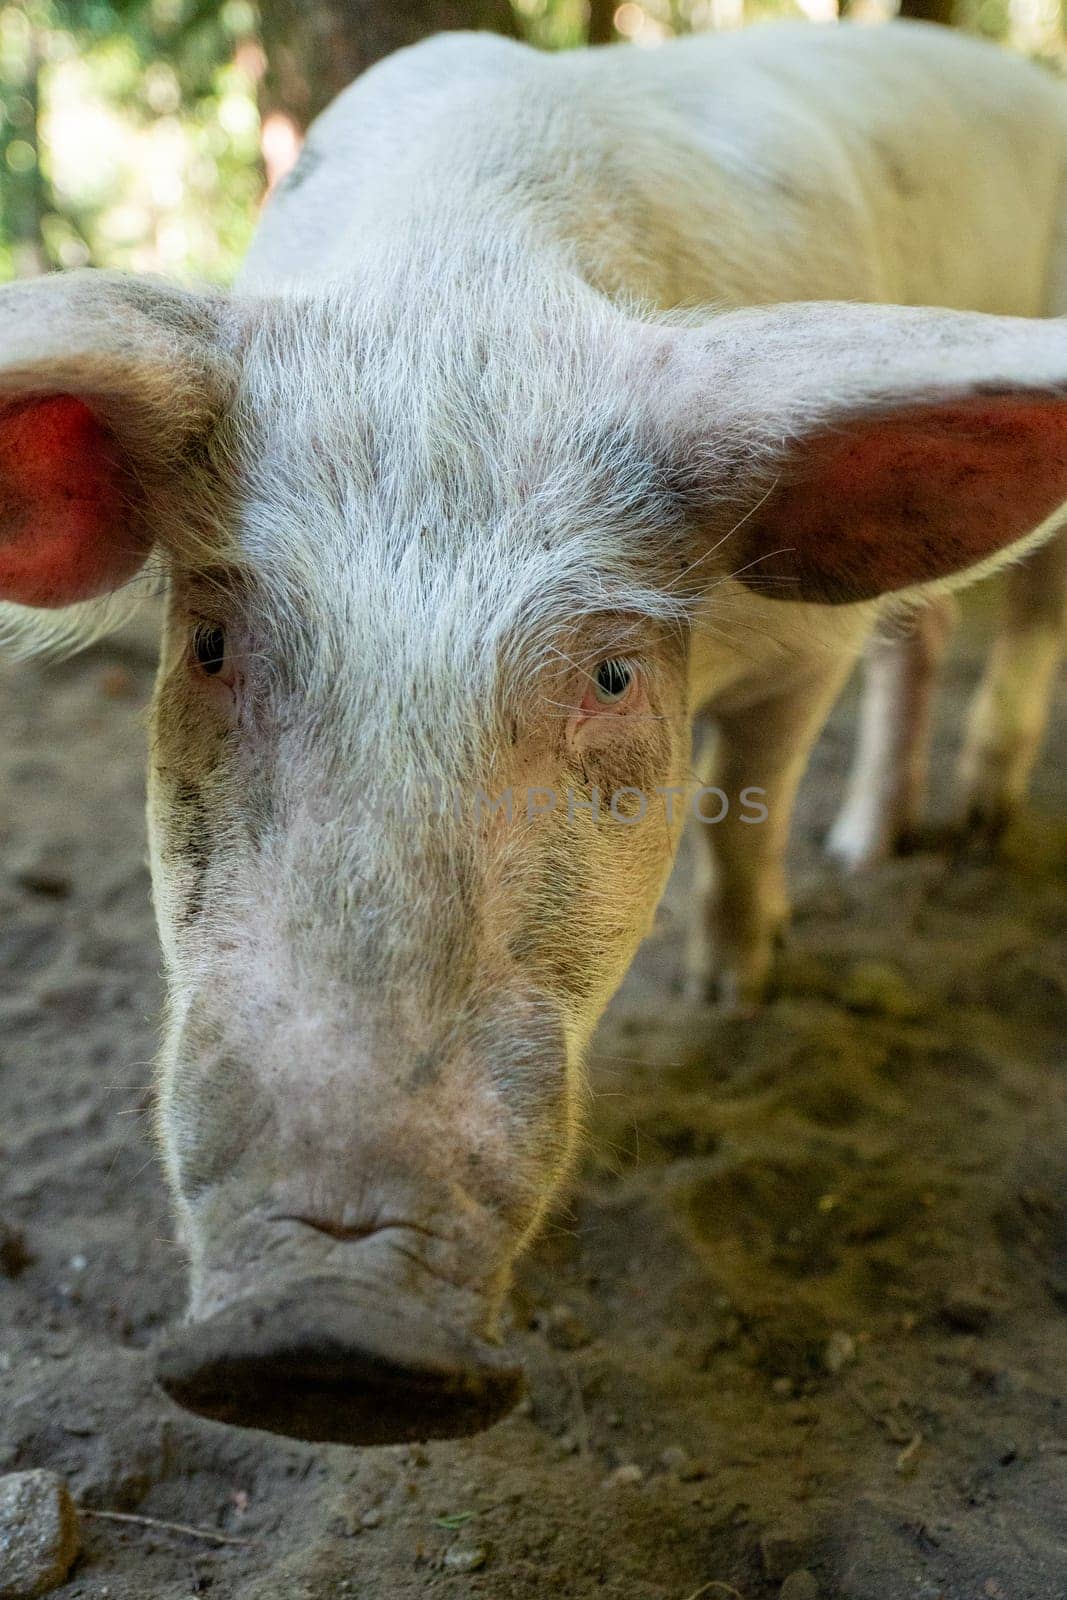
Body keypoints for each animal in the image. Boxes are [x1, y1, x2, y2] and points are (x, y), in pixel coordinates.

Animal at [2, 21, 1067, 1452]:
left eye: (612, 673)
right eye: (211, 643)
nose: (323, 1333)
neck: (463, 268)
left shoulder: (807, 652)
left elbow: (745, 811)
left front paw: (732, 992)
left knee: (1019, 617)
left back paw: (967, 836)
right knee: (934, 626)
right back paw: (865, 853)